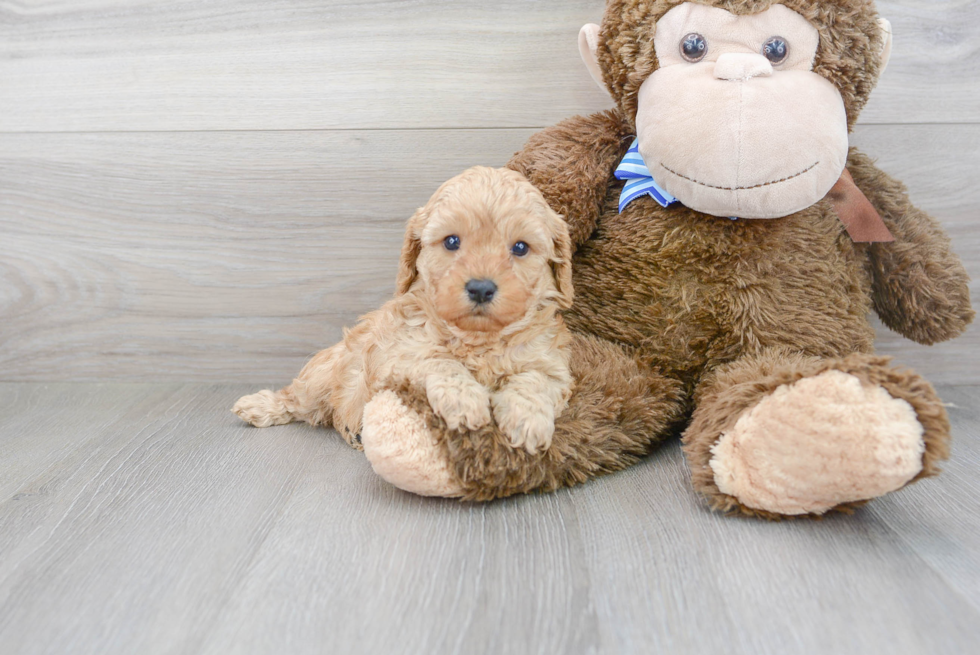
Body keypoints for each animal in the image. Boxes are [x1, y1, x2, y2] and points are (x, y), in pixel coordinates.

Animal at [233, 168, 576, 456]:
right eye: (452, 241)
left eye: (520, 248)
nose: (480, 288)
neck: (478, 338)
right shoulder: (397, 356)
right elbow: (439, 361)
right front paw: (464, 399)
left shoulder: (552, 366)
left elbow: (534, 381)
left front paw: (527, 420)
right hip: (322, 376)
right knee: (297, 399)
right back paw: (259, 406)